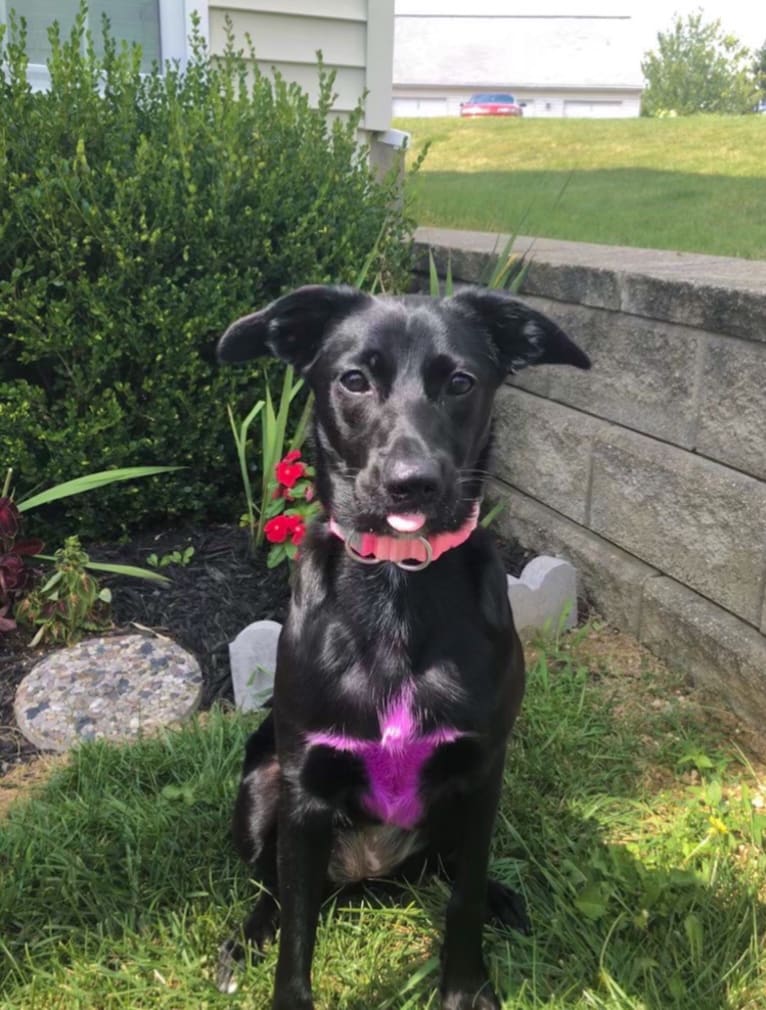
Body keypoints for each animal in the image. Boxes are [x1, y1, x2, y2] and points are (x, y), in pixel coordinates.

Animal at [217, 284, 594, 1010]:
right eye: (354, 380)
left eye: (461, 382)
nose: (411, 482)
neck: (398, 580)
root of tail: (369, 874)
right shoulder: (304, 786)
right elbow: (297, 933)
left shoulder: (480, 772)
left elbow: (462, 901)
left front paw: (465, 988)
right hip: (260, 786)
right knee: (271, 886)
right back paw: (245, 937)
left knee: (449, 872)